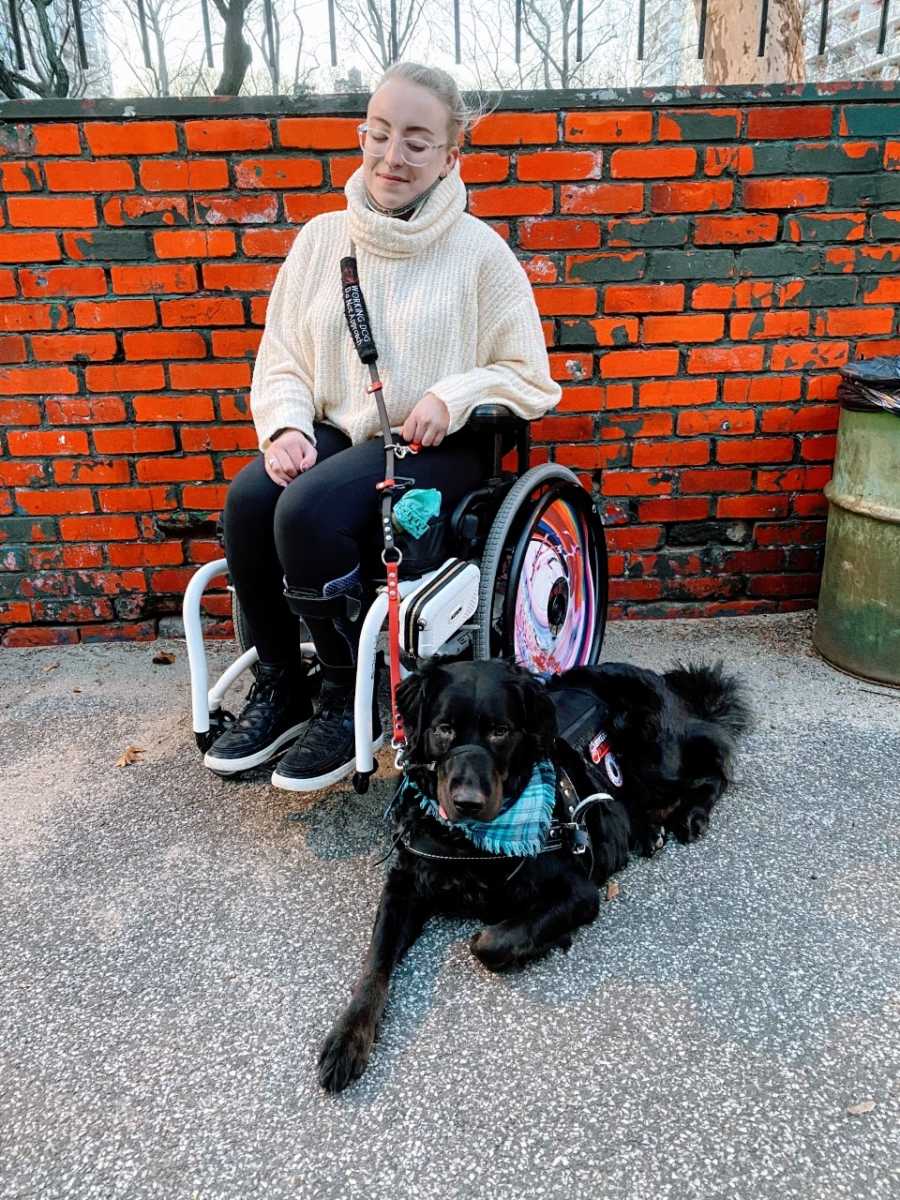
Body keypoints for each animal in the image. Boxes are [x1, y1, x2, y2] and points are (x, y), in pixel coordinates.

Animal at [321, 652, 748, 1094]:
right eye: (444, 729)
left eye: (500, 731)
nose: (467, 802)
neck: (472, 841)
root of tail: (665, 683)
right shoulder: (404, 884)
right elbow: (376, 962)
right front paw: (347, 1037)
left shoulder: (579, 891)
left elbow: (489, 942)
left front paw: (534, 938)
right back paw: (647, 831)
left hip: (655, 757)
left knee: (714, 772)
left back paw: (691, 816)